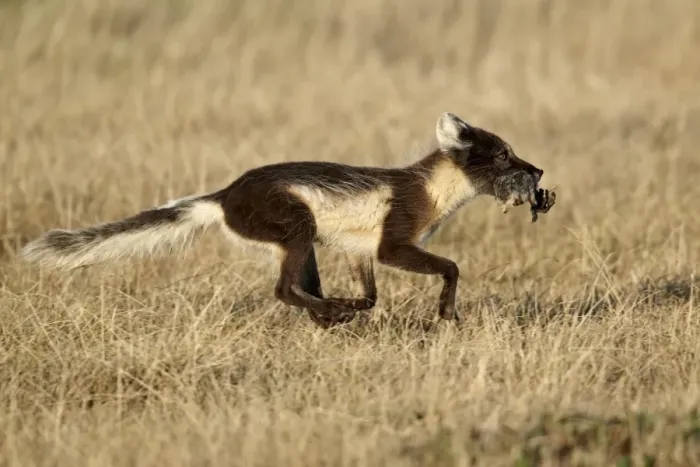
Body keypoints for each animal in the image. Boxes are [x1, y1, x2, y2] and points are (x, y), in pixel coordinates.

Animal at [20, 112, 554, 329]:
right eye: (504, 155)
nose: (538, 173)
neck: (433, 192)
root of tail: (224, 195)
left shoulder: (360, 249)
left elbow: (371, 295)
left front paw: (354, 308)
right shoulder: (393, 239)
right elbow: (450, 267)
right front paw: (446, 312)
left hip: (303, 242)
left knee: (299, 287)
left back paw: (329, 313)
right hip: (297, 225)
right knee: (281, 289)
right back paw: (329, 312)